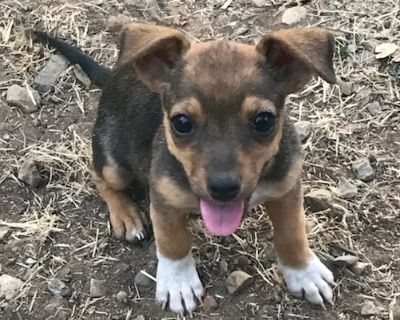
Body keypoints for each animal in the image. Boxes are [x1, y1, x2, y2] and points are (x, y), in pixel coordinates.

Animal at [35, 23, 338, 316]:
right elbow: (173, 242)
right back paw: (126, 215)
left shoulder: (287, 189)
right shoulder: (164, 199)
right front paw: (178, 283)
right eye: (181, 123)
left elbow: (292, 233)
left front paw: (303, 272)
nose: (223, 188)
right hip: (113, 163)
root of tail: (114, 77)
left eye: (263, 121)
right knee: (100, 178)